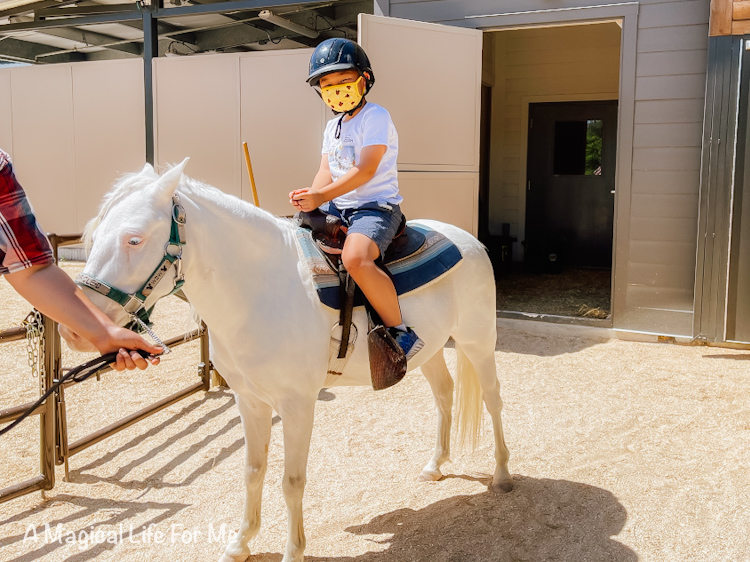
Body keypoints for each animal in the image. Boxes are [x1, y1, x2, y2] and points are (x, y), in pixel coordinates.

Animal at [67, 159, 516, 560]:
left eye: (134, 239)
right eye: (95, 235)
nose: (76, 329)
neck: (262, 289)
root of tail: (468, 239)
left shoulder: (298, 405)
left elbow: (292, 481)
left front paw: (292, 551)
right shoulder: (249, 401)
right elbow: (253, 471)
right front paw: (240, 544)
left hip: (478, 341)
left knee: (493, 399)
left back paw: (502, 475)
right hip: (434, 348)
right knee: (444, 394)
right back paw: (435, 465)